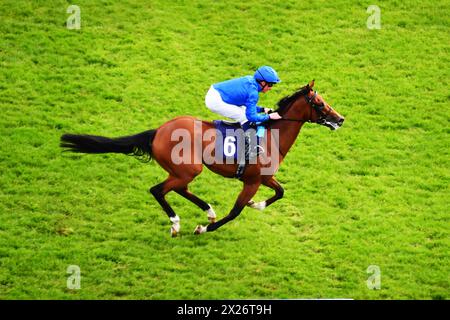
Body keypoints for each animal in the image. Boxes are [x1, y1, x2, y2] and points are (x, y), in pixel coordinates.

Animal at [59, 79, 344, 235]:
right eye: (320, 104)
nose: (340, 119)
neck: (272, 136)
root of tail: (158, 131)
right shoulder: (251, 181)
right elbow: (236, 211)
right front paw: (203, 229)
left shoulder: (264, 177)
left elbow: (280, 192)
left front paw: (257, 205)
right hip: (189, 168)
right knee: (158, 190)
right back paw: (177, 223)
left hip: (183, 169)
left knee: (178, 188)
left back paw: (208, 211)